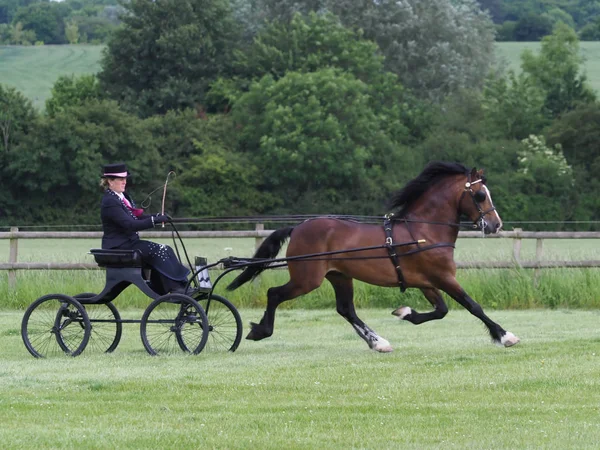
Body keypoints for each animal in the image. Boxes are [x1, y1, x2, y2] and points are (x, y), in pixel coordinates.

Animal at [227, 162, 516, 352]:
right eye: (480, 195)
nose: (496, 224)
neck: (423, 231)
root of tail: (298, 227)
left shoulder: (426, 282)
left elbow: (442, 310)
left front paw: (405, 313)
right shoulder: (443, 278)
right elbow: (472, 306)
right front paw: (505, 336)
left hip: (340, 276)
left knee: (346, 309)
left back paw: (378, 342)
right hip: (306, 279)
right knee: (275, 294)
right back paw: (260, 331)